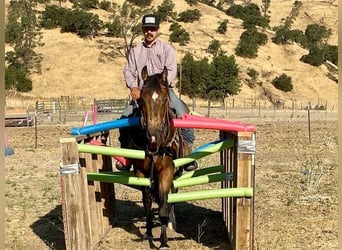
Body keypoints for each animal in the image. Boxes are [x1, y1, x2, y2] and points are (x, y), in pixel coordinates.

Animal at [120, 65, 191, 249]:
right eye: (141, 100)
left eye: (164, 99)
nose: (153, 134)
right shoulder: (141, 173)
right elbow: (147, 203)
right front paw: (149, 233)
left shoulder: (166, 172)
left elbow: (164, 205)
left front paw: (164, 241)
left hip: (176, 174)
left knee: (172, 197)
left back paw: (172, 222)